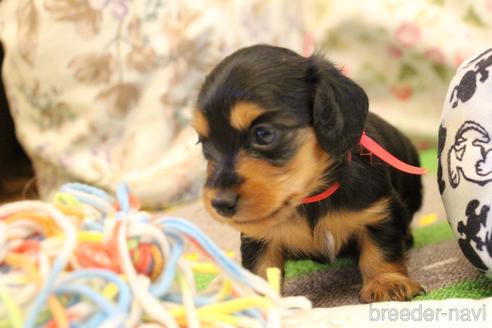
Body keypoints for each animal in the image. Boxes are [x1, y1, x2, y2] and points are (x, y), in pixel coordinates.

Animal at [194, 44, 424, 302]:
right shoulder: (259, 236)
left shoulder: (380, 211)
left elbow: (381, 250)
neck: (310, 198)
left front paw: (387, 283)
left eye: (263, 134)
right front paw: (259, 302)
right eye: (204, 143)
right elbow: (260, 268)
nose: (220, 204)